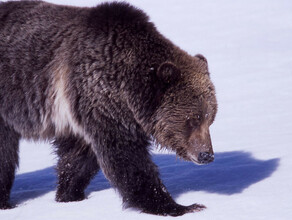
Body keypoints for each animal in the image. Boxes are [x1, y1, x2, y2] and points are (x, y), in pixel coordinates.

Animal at [0, 0, 217, 217]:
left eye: (210, 119)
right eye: (193, 119)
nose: (206, 155)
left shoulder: (81, 113)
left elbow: (77, 158)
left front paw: (69, 194)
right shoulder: (101, 98)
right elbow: (126, 158)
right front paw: (179, 206)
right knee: (6, 155)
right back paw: (6, 203)